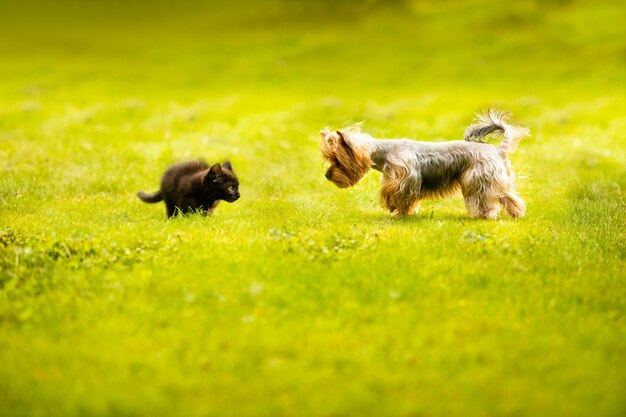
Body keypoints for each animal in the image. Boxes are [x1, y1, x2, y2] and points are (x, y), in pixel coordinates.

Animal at [320, 109, 528, 219]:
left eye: (337, 160)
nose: (326, 176)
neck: (383, 153)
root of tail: (498, 150)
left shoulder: (403, 180)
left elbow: (399, 198)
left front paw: (398, 212)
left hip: (476, 180)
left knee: (487, 200)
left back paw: (484, 215)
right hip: (496, 180)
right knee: (510, 197)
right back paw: (516, 214)